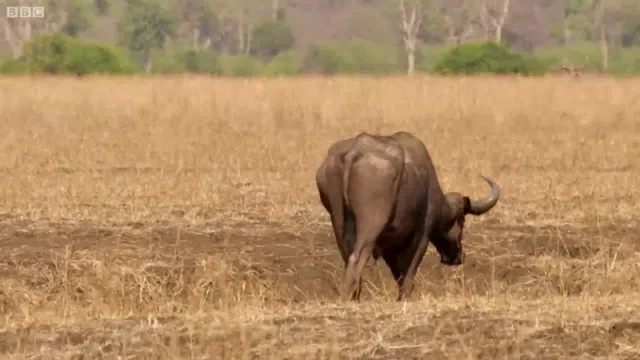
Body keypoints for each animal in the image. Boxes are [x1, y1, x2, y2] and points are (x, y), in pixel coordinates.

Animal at [316, 131, 500, 300]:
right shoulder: (421, 236)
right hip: (370, 225)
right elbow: (409, 271)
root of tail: (354, 152)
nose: (457, 257)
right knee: (357, 258)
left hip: (338, 222)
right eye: (461, 220)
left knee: (348, 259)